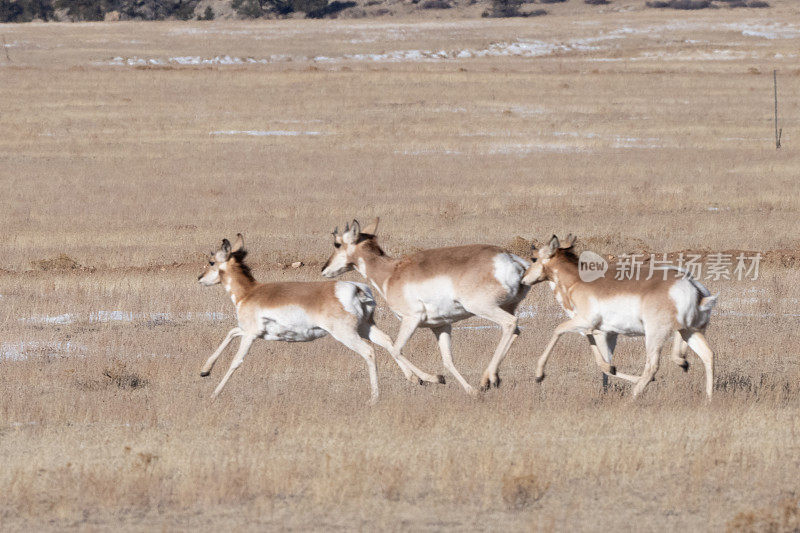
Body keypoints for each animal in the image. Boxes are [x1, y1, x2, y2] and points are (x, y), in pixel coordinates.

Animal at [197, 233, 396, 404]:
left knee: (368, 351)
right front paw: (205, 370)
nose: (200, 278)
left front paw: (214, 394)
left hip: (347, 334)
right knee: (388, 342)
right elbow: (230, 332)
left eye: (211, 261)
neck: (249, 293)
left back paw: (373, 398)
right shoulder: (249, 331)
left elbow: (235, 361)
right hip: (365, 328)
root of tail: (357, 288)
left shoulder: (250, 334)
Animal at [318, 217, 532, 394]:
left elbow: (396, 349)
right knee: (515, 330)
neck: (391, 273)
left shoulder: (411, 319)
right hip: (506, 306)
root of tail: (510, 258)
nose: (324, 269)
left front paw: (432, 379)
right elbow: (447, 360)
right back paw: (491, 379)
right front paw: (470, 390)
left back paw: (488, 379)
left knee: (509, 324)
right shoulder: (441, 326)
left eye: (337, 243)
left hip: (483, 308)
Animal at [524, 235, 720, 396]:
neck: (576, 281)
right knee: (708, 355)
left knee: (652, 366)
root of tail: (693, 287)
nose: (523, 279)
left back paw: (633, 396)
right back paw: (707, 397)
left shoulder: (588, 325)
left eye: (533, 258)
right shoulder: (599, 331)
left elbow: (557, 330)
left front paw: (539, 375)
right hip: (691, 331)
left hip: (655, 335)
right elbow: (602, 361)